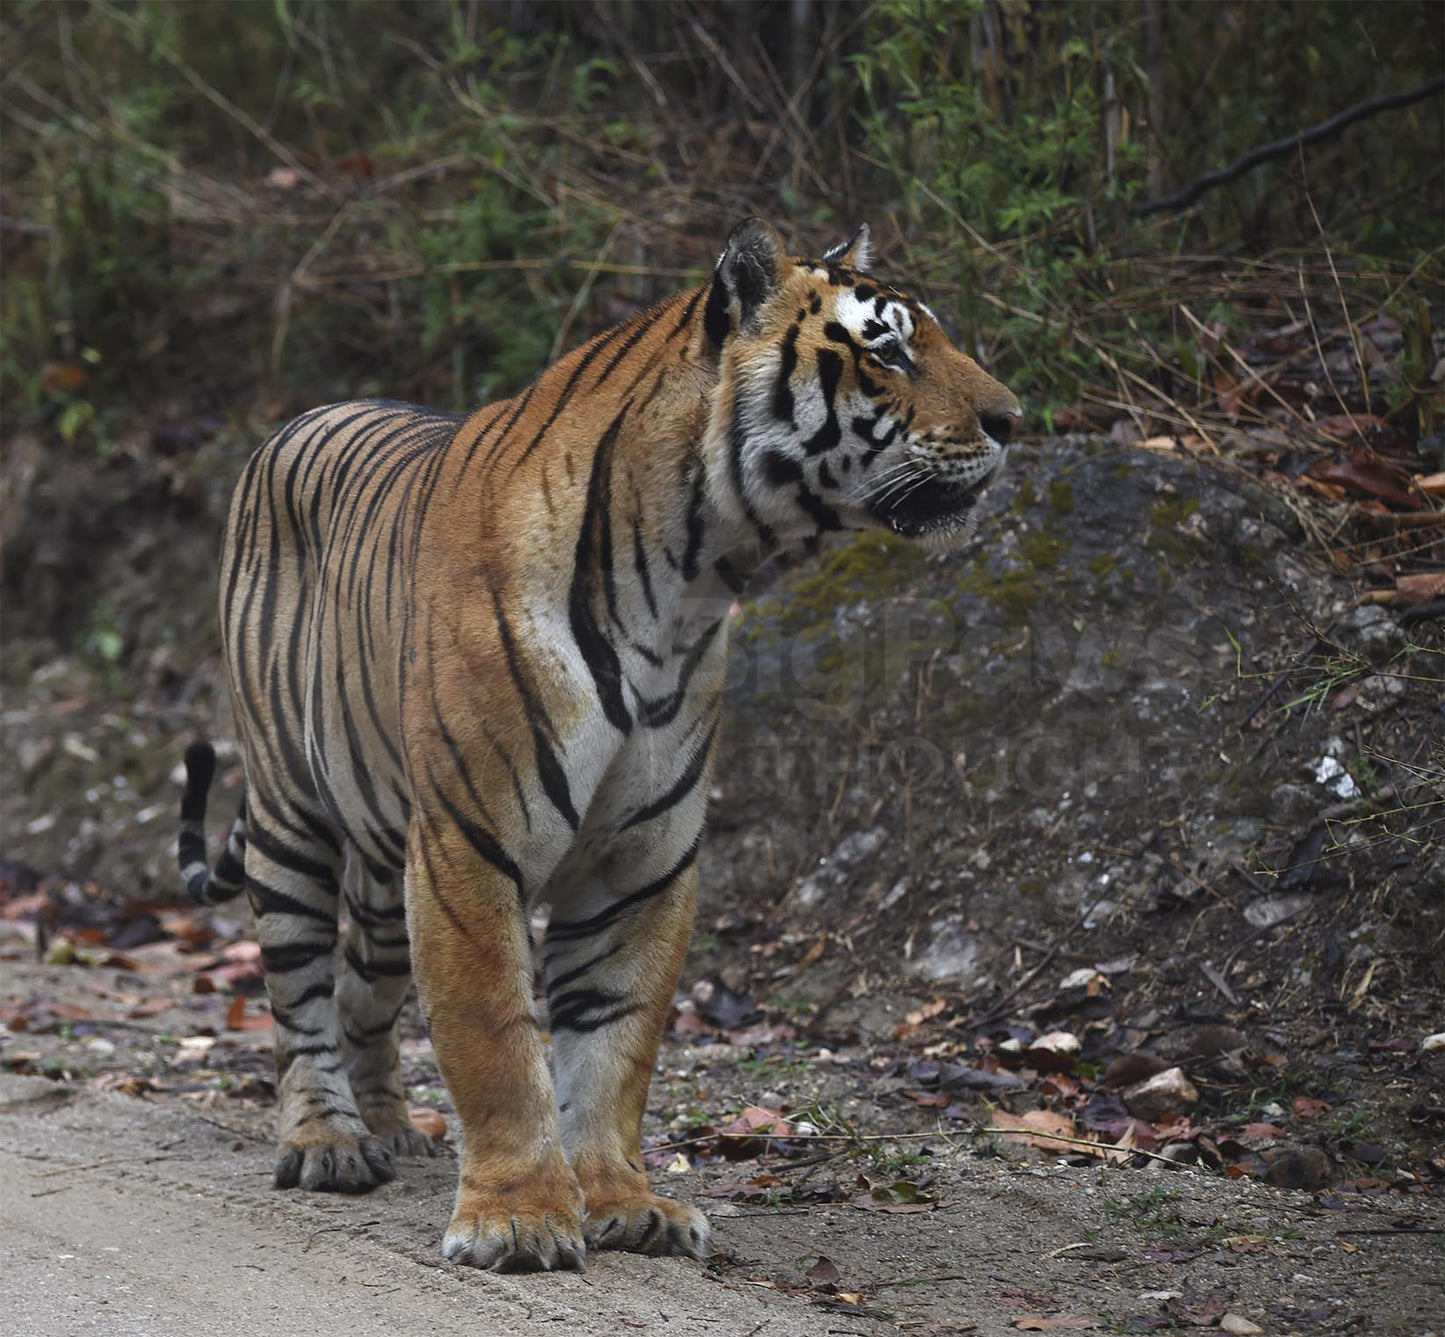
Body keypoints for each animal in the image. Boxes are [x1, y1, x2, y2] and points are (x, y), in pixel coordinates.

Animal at [177, 219, 1017, 1271]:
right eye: (888, 350)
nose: (1013, 420)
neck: (691, 575)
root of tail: (297, 419)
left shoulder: (642, 861)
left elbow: (614, 1045)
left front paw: (623, 1200)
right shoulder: (468, 847)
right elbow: (497, 1040)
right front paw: (519, 1218)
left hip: (383, 862)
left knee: (364, 995)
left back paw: (395, 1131)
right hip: (293, 818)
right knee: (298, 999)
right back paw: (327, 1142)